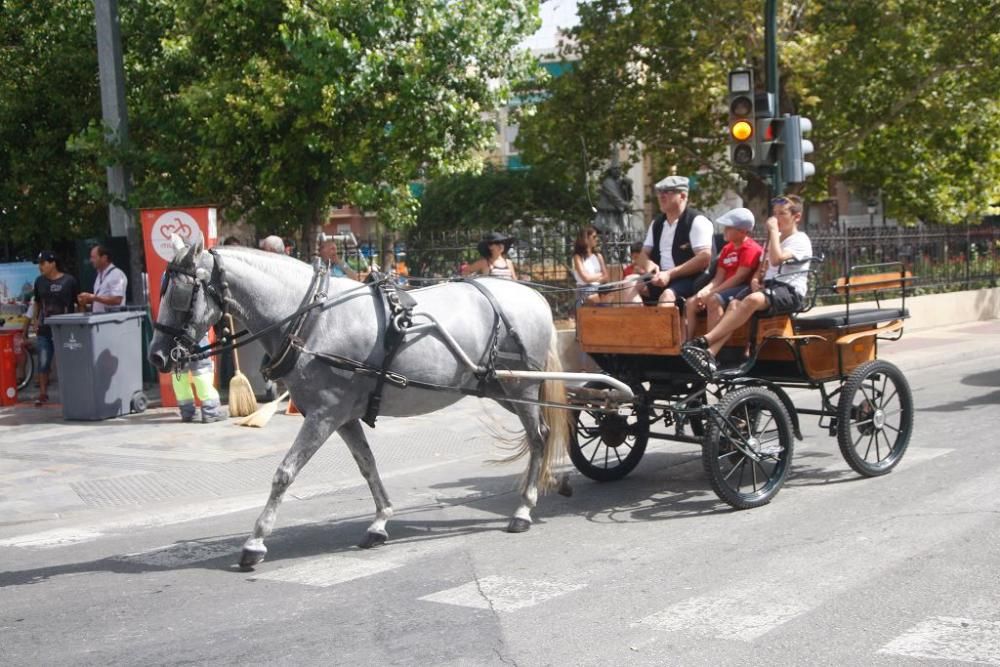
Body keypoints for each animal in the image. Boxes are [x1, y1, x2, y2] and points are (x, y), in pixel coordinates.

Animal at [147, 239, 572, 568]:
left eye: (181, 294)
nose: (157, 357)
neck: (312, 320)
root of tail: (534, 295)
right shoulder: (342, 417)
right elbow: (367, 466)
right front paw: (380, 521)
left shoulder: (323, 415)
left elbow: (284, 473)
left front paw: (255, 542)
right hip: (500, 389)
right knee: (538, 435)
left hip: (522, 388)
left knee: (539, 437)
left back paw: (523, 509)